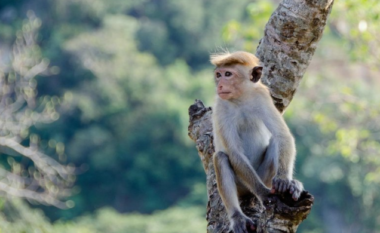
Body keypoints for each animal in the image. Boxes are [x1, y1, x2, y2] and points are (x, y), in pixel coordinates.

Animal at [211, 51, 302, 233]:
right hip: (242, 184)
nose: (220, 85)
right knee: (221, 157)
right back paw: (237, 217)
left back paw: (291, 184)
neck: (240, 99)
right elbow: (234, 152)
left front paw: (285, 181)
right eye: (219, 75)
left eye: (228, 74)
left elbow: (282, 135)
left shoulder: (262, 96)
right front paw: (264, 194)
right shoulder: (221, 106)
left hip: (264, 175)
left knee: (274, 141)